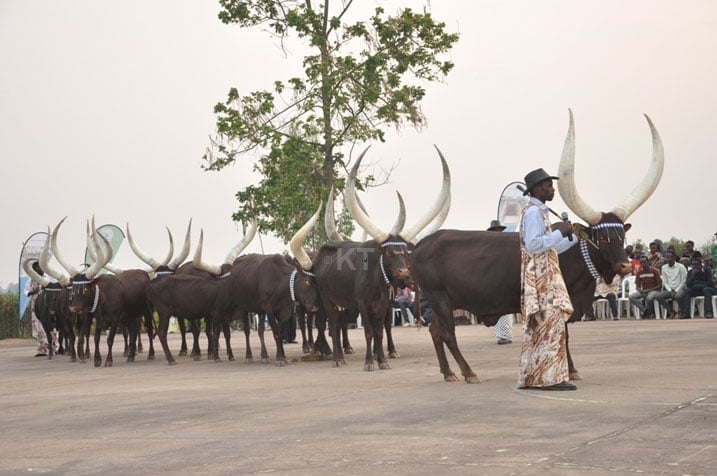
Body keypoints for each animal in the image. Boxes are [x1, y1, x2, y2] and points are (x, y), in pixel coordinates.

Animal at [412, 111, 664, 384]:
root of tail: (421, 245)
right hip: (439, 297)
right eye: (603, 238)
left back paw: (448, 373)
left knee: (435, 330)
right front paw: (568, 370)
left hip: (444, 301)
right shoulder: (562, 299)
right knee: (447, 333)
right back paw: (469, 372)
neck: (579, 256)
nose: (625, 265)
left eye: (622, 237)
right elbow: (563, 332)